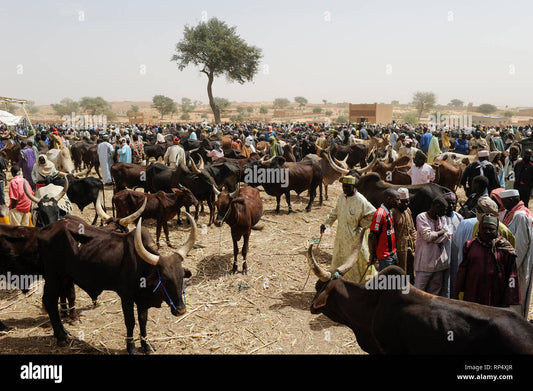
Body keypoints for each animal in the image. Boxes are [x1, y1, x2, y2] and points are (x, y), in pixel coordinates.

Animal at [37, 214, 196, 356]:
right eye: (164, 279)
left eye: (181, 277)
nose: (181, 310)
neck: (140, 265)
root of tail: (46, 229)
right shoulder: (126, 297)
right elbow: (130, 322)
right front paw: (131, 348)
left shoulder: (142, 301)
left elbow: (143, 321)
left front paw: (146, 346)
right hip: (53, 277)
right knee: (49, 301)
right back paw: (61, 337)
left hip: (63, 278)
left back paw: (64, 332)